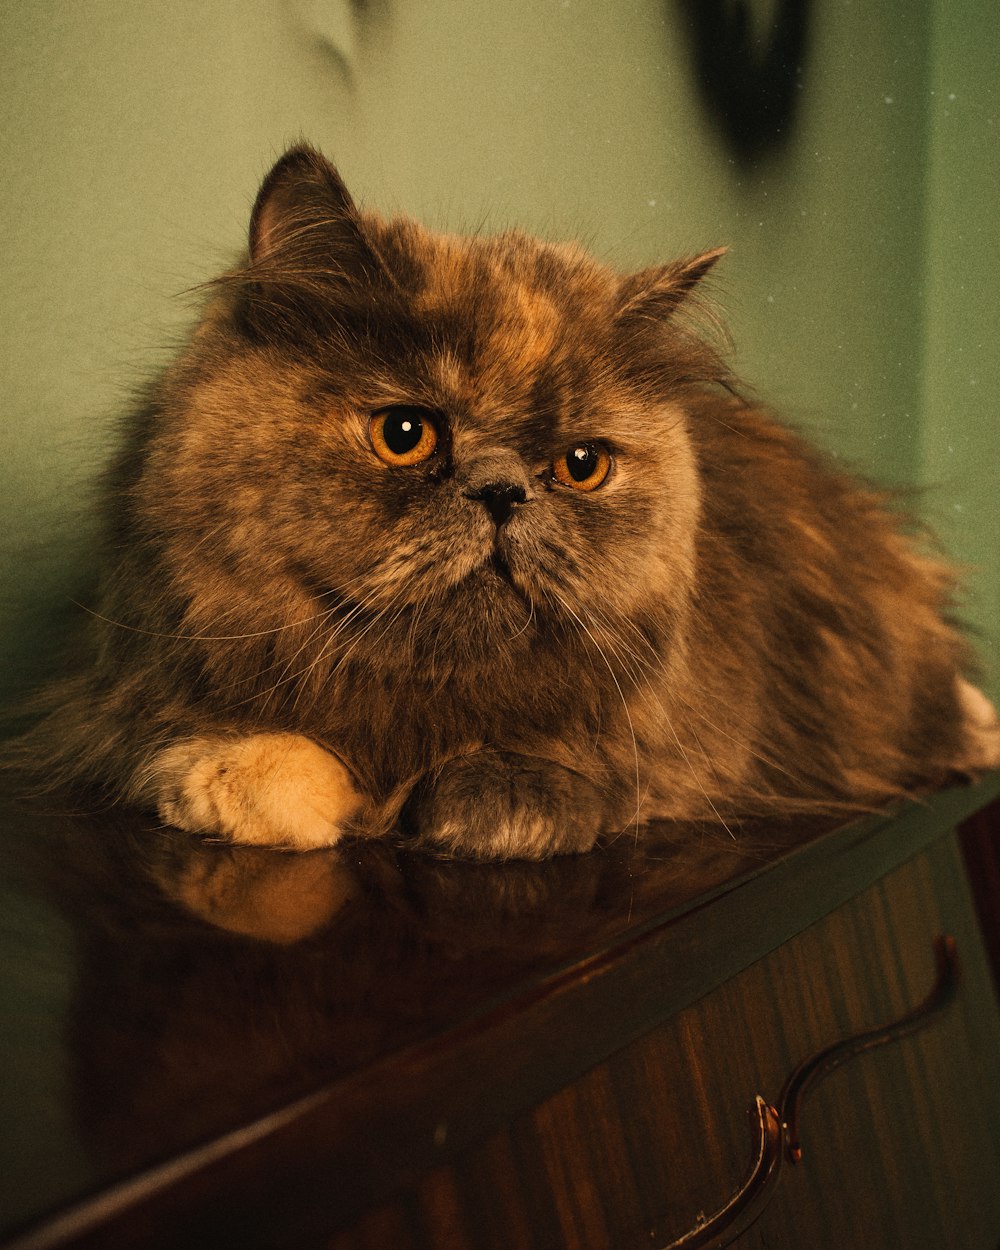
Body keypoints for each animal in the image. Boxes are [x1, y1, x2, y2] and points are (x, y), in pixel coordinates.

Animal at [9, 141, 1000, 855]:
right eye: (405, 434)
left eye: (581, 464)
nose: (501, 491)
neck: (419, 718)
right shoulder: (111, 702)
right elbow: (240, 764)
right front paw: (272, 791)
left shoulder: (680, 744)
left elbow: (564, 770)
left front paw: (480, 804)